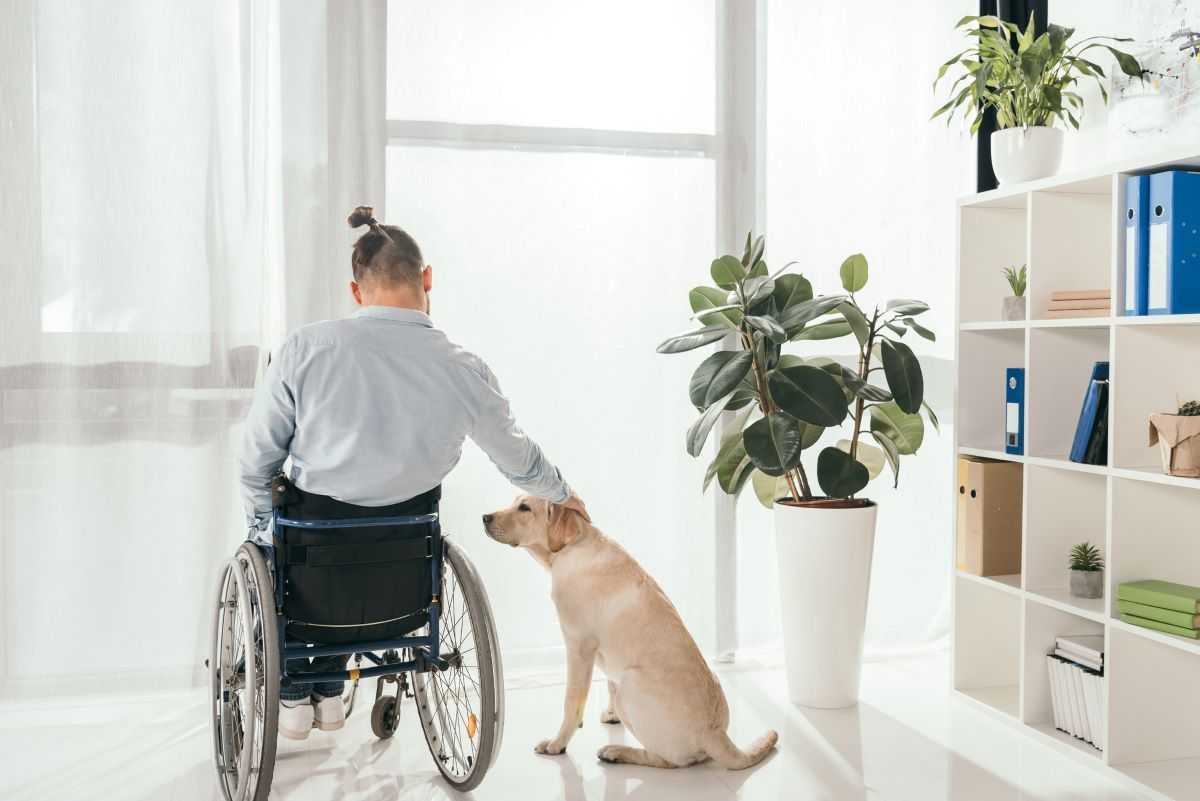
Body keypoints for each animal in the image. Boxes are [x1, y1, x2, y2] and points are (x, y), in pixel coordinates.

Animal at [484, 494, 777, 767]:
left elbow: (571, 703)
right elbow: (607, 683)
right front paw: (611, 715)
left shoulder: (579, 646)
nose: (485, 517)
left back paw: (617, 751)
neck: (572, 546)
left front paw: (557, 744)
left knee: (669, 760)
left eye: (524, 508)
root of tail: (714, 733)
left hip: (631, 683)